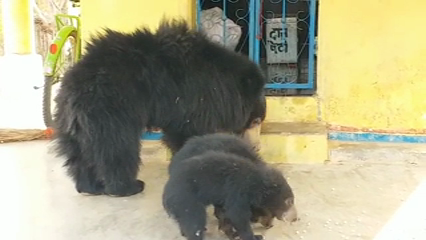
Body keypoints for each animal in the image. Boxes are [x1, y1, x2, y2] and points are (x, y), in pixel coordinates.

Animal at [52, 18, 266, 197]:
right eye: (254, 121)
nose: (256, 146)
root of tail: (74, 84)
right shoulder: (191, 96)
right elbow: (187, 133)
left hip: (72, 122)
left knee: (79, 154)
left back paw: (90, 187)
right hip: (111, 109)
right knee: (117, 147)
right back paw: (128, 187)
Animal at [161, 133, 298, 240]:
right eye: (289, 201)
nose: (294, 218)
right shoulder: (234, 190)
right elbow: (235, 214)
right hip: (188, 198)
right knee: (193, 218)